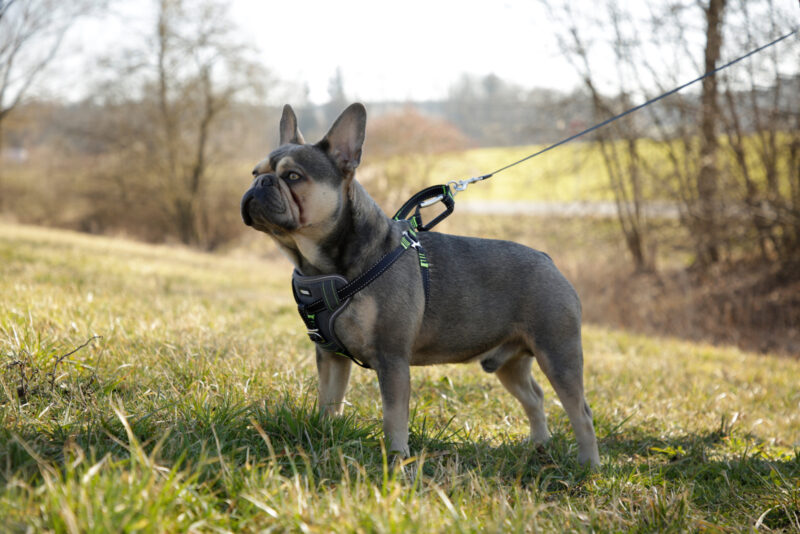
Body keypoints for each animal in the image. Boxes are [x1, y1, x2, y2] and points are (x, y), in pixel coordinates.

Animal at [242, 101, 600, 468]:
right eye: (255, 173)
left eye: (293, 176)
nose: (261, 183)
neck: (321, 265)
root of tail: (548, 259)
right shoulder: (331, 357)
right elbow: (330, 400)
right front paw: (324, 436)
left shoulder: (392, 359)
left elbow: (393, 416)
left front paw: (397, 459)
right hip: (509, 363)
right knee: (534, 397)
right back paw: (539, 445)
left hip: (558, 353)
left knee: (580, 411)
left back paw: (588, 465)